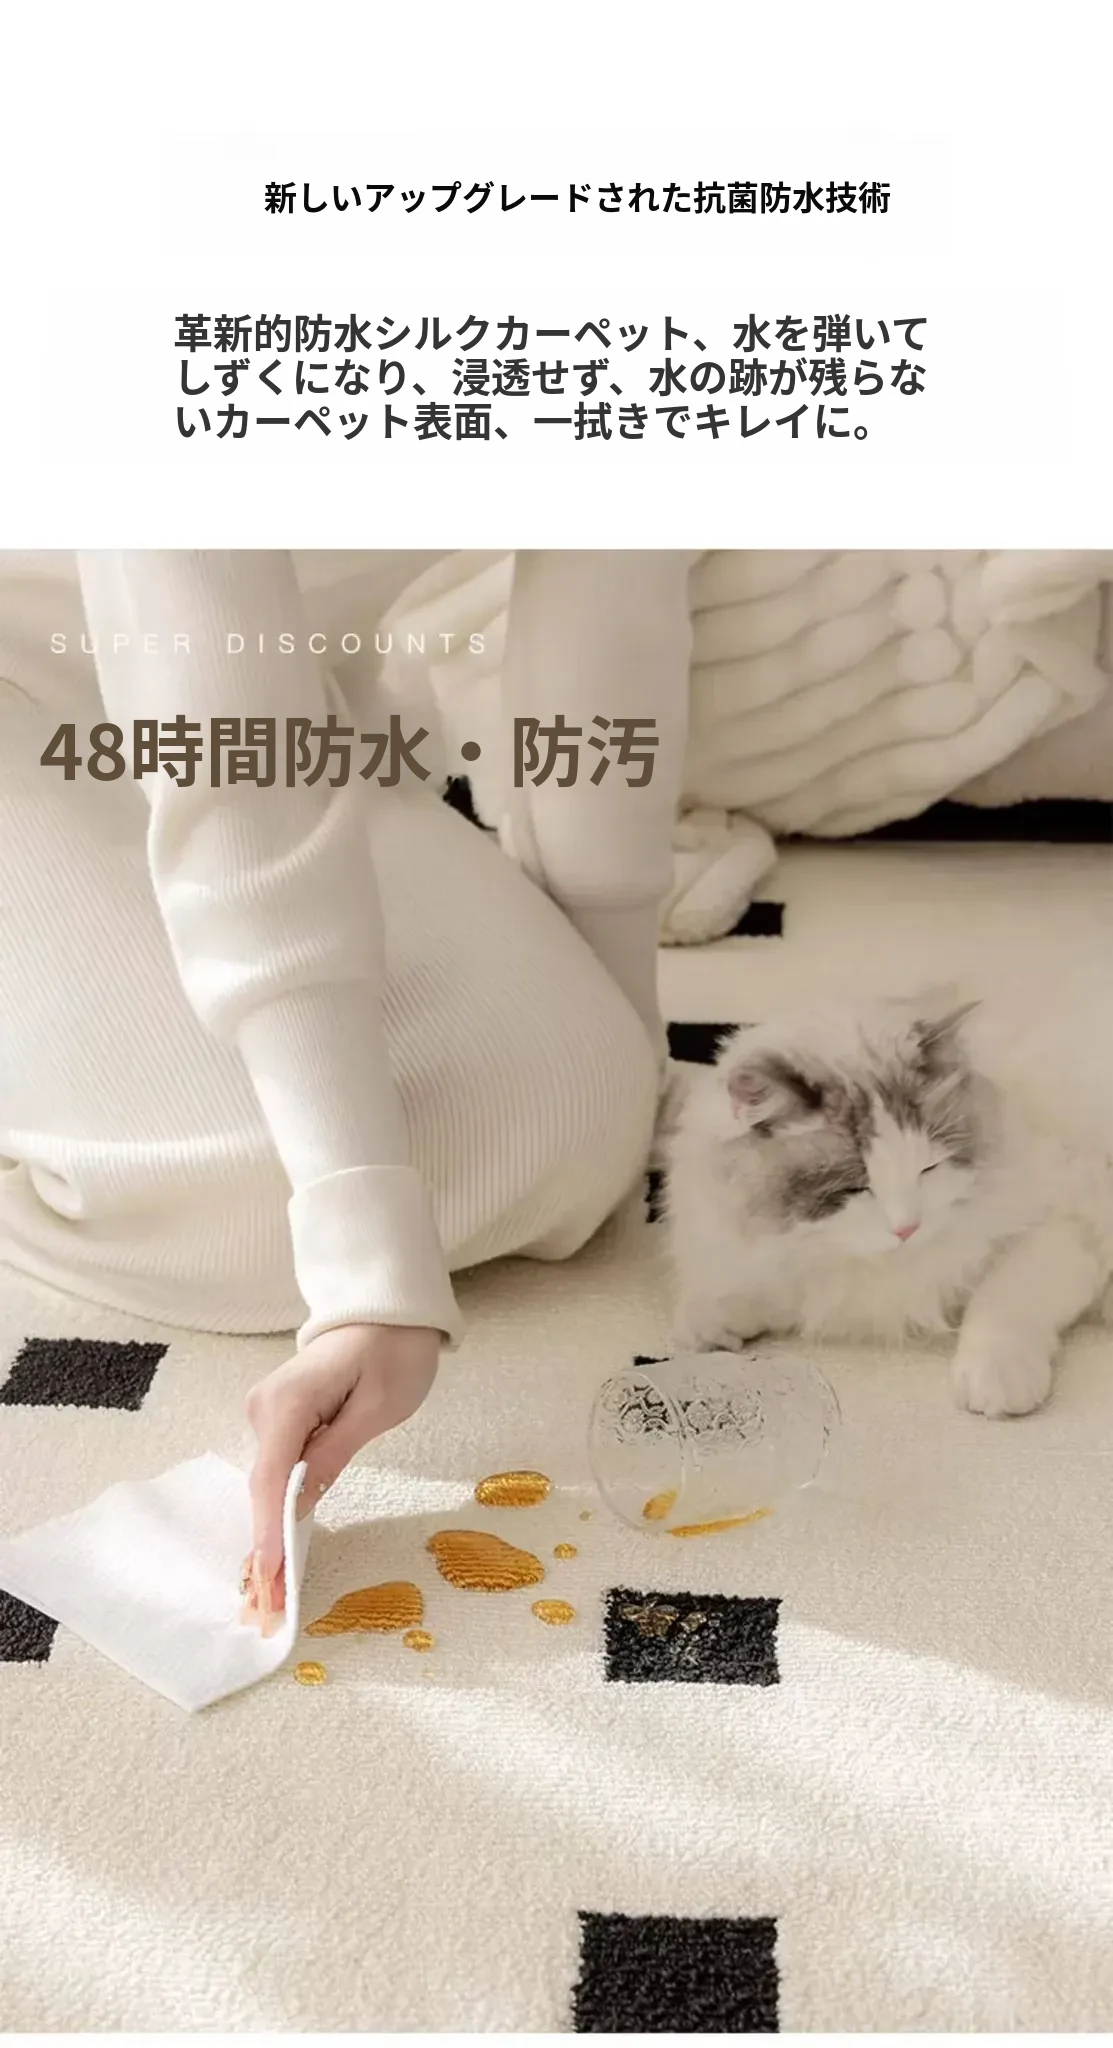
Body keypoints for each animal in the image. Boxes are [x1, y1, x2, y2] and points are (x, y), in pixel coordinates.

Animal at [664, 991, 1113, 1417]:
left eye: (929, 1168)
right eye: (856, 1187)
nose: (906, 1229)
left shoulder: (1055, 1233)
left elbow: (998, 1305)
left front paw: (994, 1381)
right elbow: (753, 1293)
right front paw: (710, 1328)